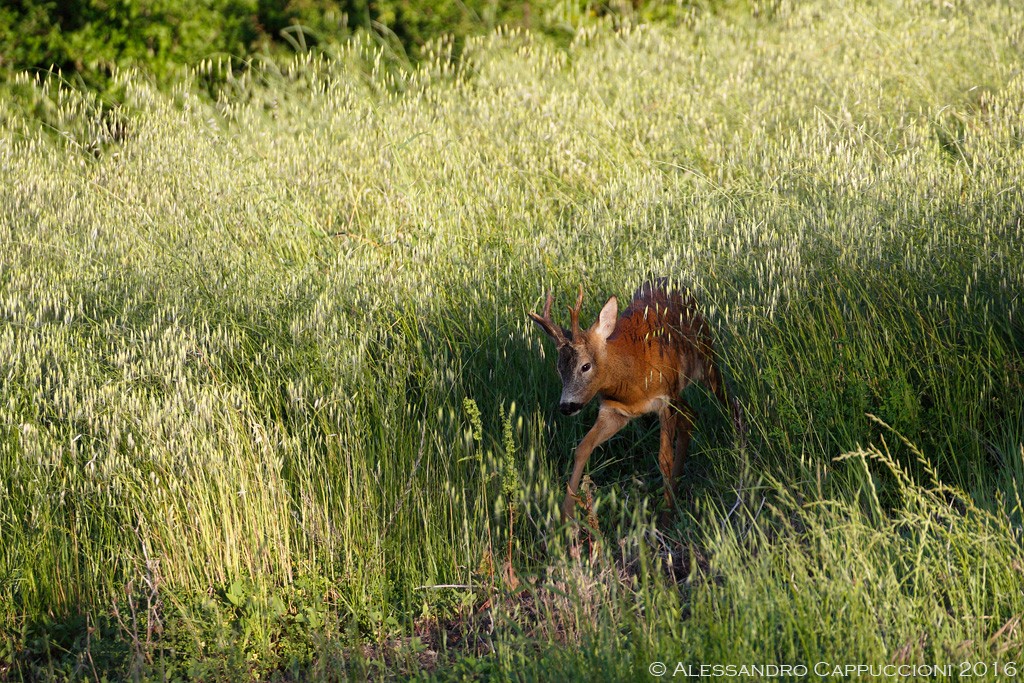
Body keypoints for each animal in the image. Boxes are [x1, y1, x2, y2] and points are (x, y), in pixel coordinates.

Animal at [528, 280, 729, 528]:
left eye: (585, 366)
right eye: (559, 368)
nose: (567, 406)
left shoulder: (665, 400)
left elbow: (664, 458)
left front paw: (665, 519)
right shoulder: (615, 412)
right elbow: (582, 448)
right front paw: (567, 516)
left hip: (706, 358)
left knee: (728, 401)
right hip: (679, 393)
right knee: (691, 416)